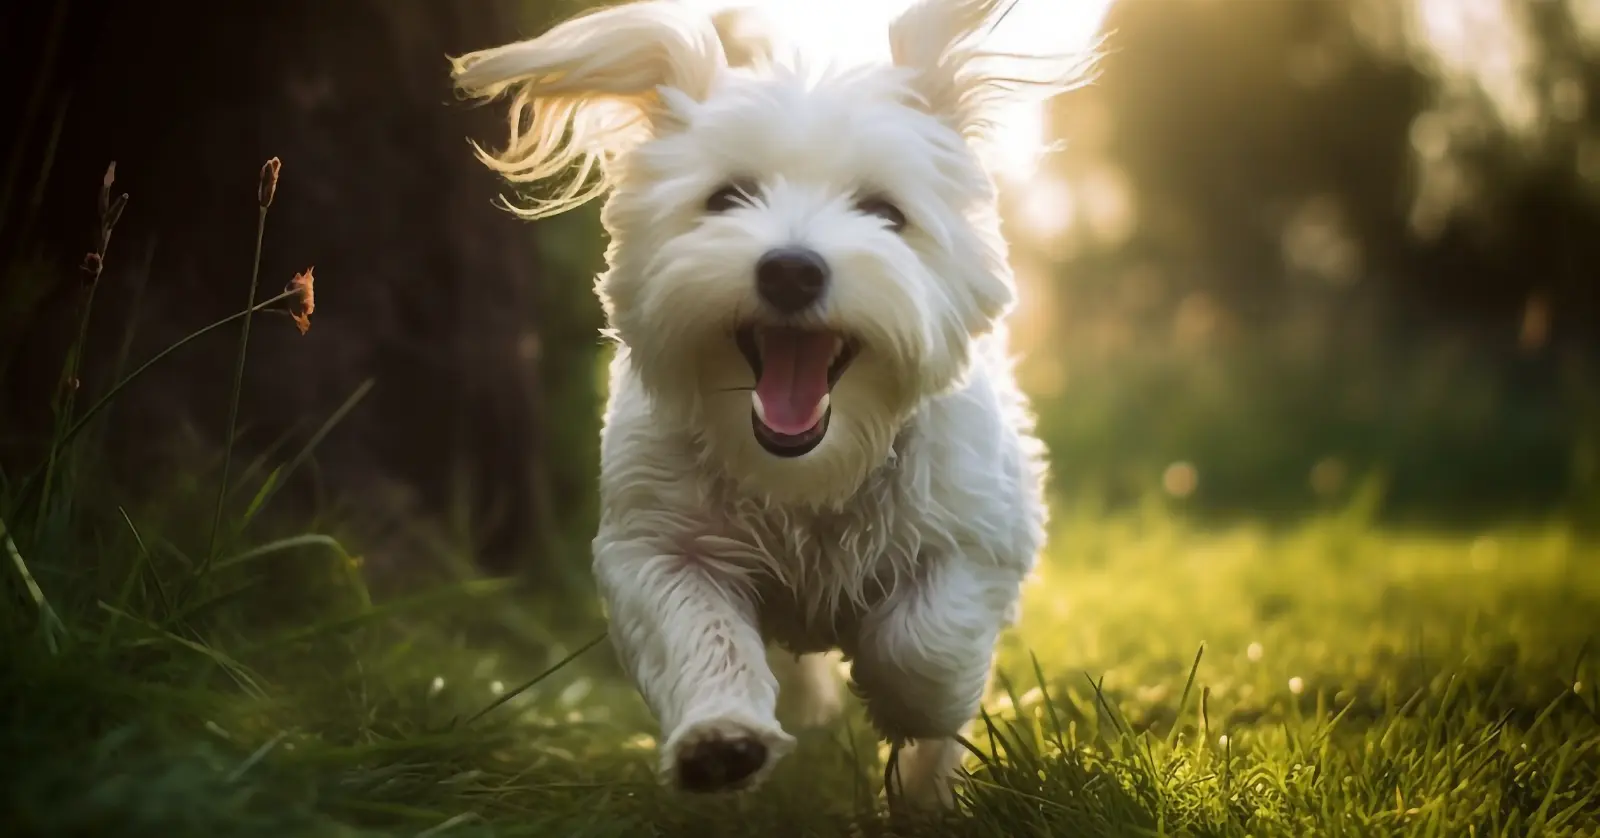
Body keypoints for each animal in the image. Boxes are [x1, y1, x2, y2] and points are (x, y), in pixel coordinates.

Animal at [454, 0, 1088, 812]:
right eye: (726, 197)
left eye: (884, 211)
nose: (791, 269)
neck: (809, 471)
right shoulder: (660, 547)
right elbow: (700, 635)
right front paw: (719, 740)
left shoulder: (980, 533)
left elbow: (924, 644)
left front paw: (908, 707)